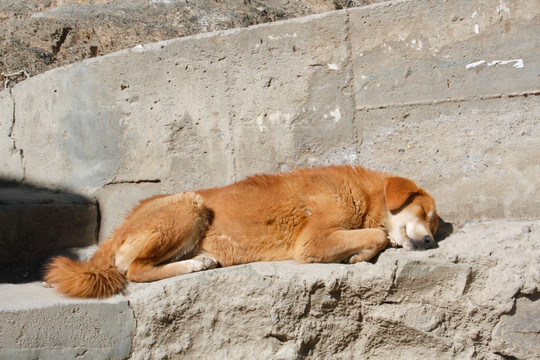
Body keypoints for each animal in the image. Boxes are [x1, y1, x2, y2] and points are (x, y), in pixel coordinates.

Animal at [43, 166, 438, 298]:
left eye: (435, 223)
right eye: (425, 213)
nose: (432, 241)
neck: (365, 194)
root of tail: (119, 226)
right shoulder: (312, 242)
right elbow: (376, 236)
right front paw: (361, 253)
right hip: (189, 207)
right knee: (134, 269)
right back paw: (194, 265)